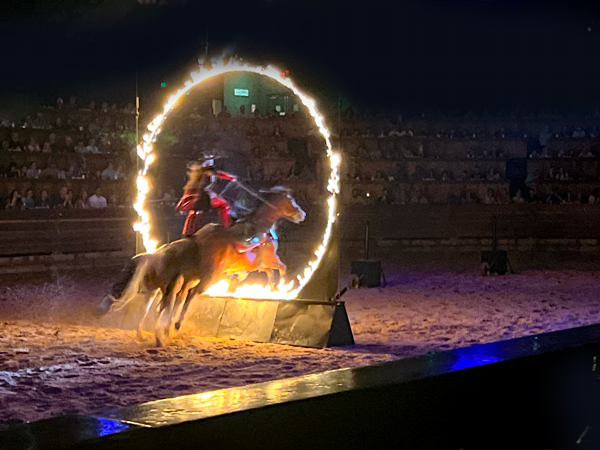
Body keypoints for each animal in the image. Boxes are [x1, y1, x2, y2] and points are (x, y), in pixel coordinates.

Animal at [102, 185, 304, 344]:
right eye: (291, 201)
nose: (302, 214)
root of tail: (156, 256)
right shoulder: (268, 260)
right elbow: (281, 268)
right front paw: (281, 284)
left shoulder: (257, 265)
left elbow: (269, 272)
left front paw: (272, 285)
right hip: (194, 281)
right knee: (180, 299)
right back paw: (169, 330)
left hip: (159, 288)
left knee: (155, 307)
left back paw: (151, 333)